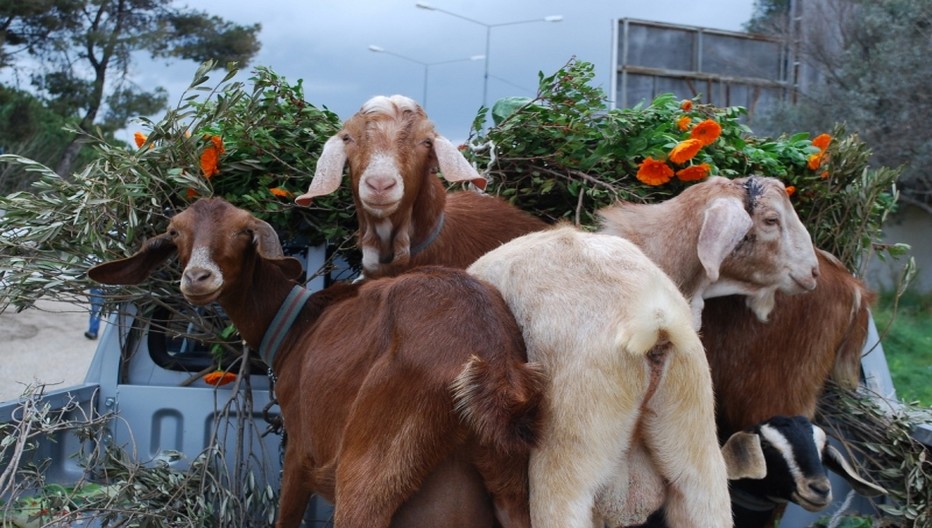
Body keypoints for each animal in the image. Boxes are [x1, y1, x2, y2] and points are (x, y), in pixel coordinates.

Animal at [87, 198, 548, 528]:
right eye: (176, 232)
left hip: (370, 463)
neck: (296, 325)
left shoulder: (299, 450)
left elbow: (286, 517)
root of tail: (493, 365)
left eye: (241, 232)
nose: (198, 278)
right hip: (511, 484)